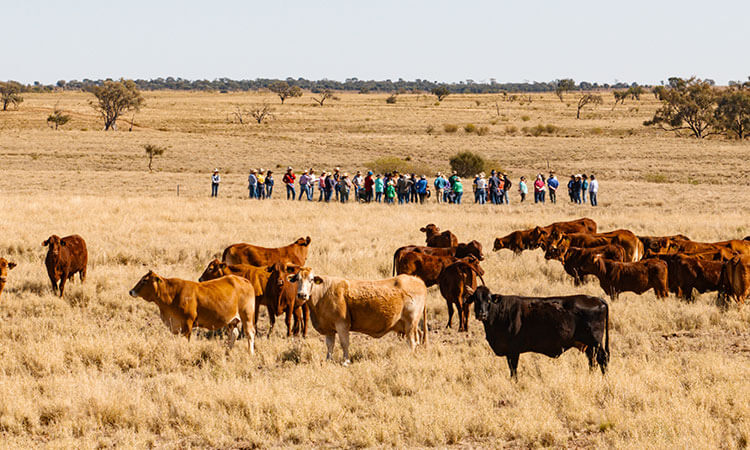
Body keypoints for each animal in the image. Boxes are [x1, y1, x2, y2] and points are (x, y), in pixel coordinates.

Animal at [289, 267, 428, 365]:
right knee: (419, 336)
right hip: (412, 325)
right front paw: (328, 359)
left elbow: (344, 343)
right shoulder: (329, 328)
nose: (302, 295)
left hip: (410, 323)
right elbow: (330, 345)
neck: (323, 293)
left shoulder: (342, 324)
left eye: (311, 279)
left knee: (412, 342)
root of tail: (417, 280)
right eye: (297, 279)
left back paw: (411, 356)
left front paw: (345, 361)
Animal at [470, 285, 609, 378]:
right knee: (592, 362)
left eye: (488, 300)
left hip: (595, 342)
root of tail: (596, 298)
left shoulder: (513, 351)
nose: (482, 314)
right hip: (589, 346)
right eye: (476, 300)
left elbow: (513, 370)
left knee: (603, 359)